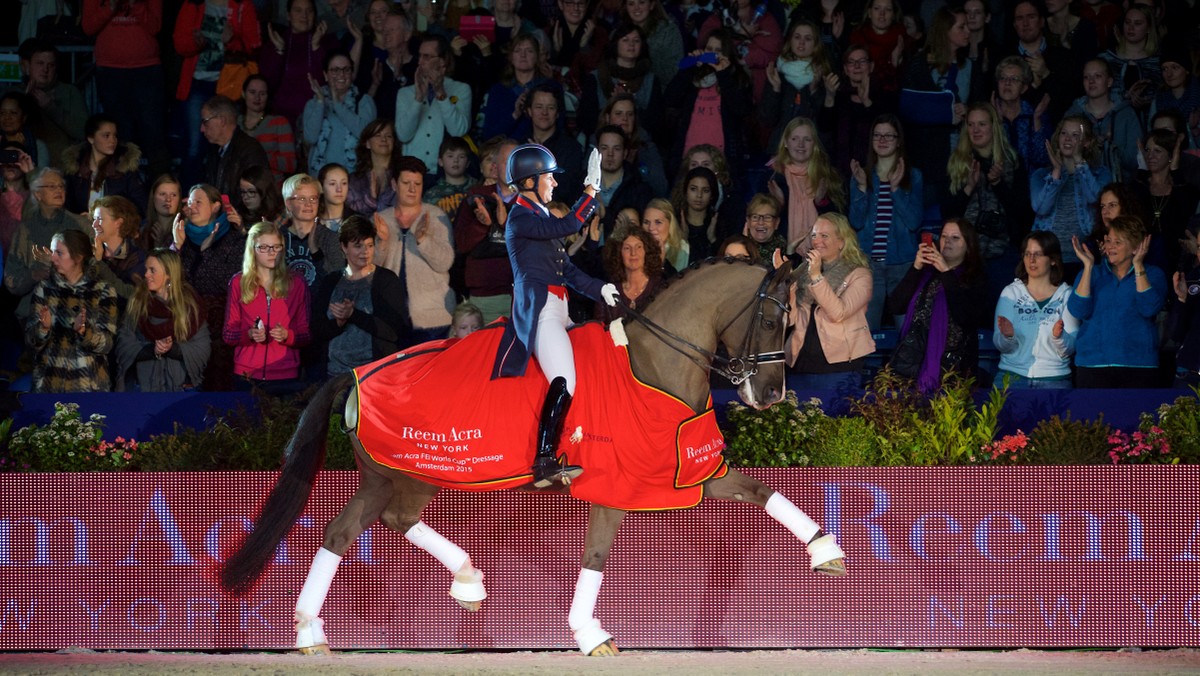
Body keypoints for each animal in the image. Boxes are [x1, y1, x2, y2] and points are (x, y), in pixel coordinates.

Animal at [220, 258, 849, 657]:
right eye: (770, 318)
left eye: (794, 322)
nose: (771, 395)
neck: (652, 363)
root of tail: (356, 374)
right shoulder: (616, 484)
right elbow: (596, 556)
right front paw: (590, 635)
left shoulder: (689, 470)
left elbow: (762, 491)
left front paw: (827, 552)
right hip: (409, 471)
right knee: (373, 524)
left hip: (391, 476)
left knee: (347, 530)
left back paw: (326, 628)